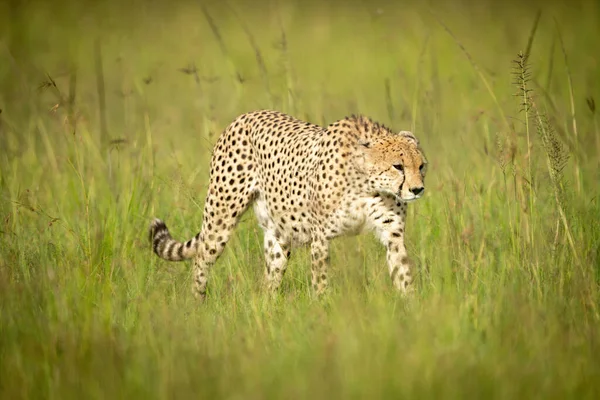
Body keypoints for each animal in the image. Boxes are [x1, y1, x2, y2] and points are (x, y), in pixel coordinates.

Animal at [152, 109, 428, 300]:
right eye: (398, 166)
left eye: (421, 165)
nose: (417, 189)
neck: (367, 184)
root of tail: (245, 115)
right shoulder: (321, 237)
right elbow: (320, 280)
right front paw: (323, 310)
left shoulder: (392, 234)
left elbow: (402, 272)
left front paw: (410, 311)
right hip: (220, 217)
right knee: (201, 258)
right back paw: (197, 303)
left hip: (278, 237)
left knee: (270, 278)